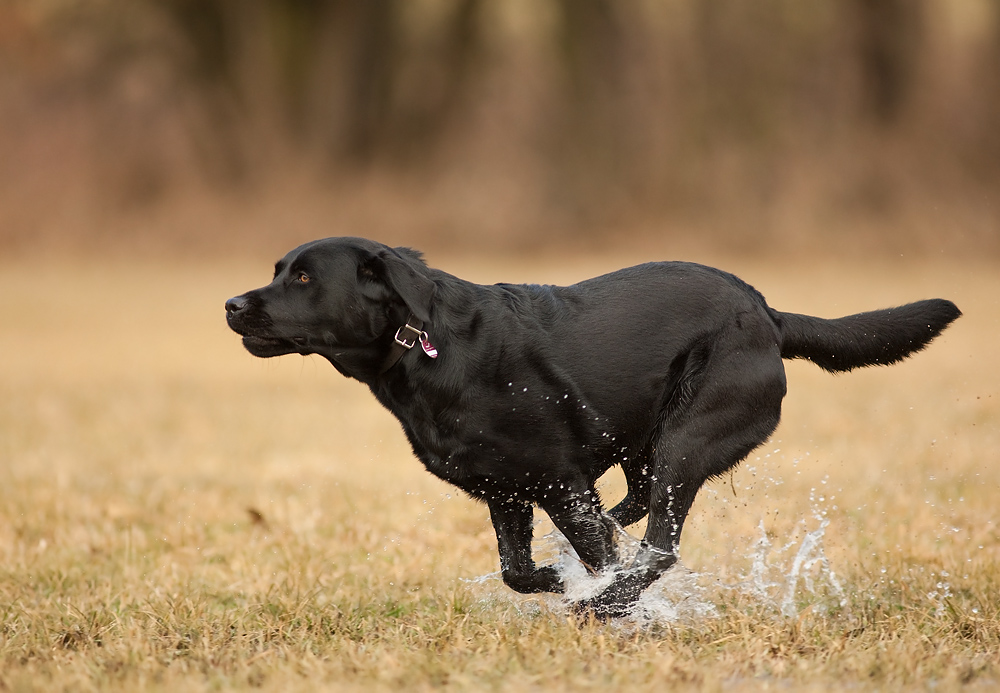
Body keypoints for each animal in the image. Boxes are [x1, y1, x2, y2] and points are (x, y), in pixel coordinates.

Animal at [227, 238, 960, 616]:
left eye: (302, 277)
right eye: (276, 270)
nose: (232, 304)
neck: (424, 345)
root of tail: (768, 313)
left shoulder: (558, 481)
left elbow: (594, 553)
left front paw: (602, 598)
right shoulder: (509, 491)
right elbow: (516, 569)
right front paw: (556, 580)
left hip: (688, 440)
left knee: (660, 546)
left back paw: (607, 604)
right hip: (647, 444)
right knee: (634, 508)